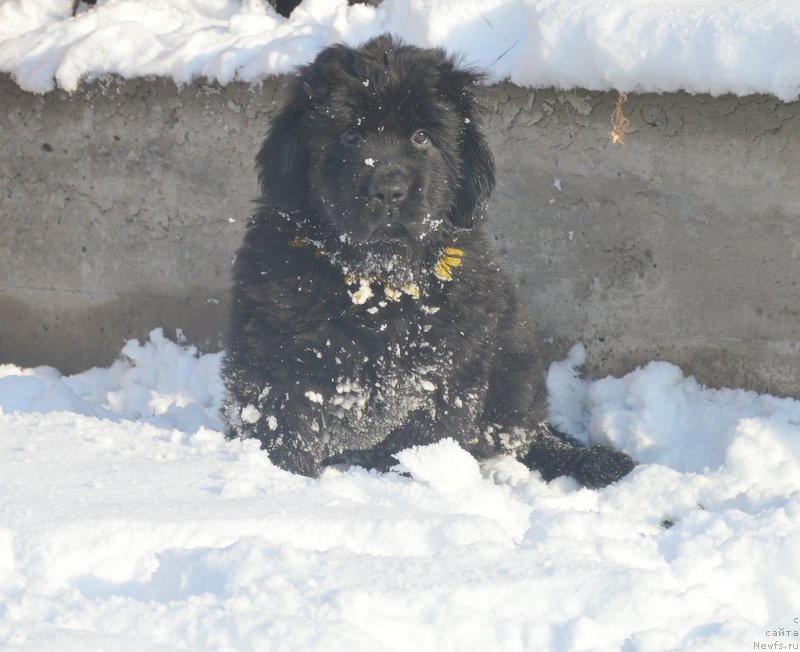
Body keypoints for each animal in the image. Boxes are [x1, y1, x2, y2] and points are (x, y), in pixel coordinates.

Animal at [223, 33, 632, 486]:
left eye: (421, 137)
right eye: (350, 136)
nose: (388, 190)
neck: (378, 285)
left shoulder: (444, 374)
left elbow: (425, 436)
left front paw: (417, 481)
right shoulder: (276, 354)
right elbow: (283, 426)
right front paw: (283, 483)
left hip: (514, 371)